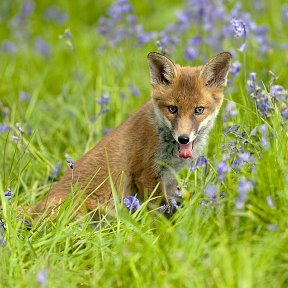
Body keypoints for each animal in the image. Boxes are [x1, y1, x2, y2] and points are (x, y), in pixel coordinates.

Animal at [30, 51, 232, 218]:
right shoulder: (146, 174)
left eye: (198, 110)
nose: (183, 138)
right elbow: (159, 212)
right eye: (172, 109)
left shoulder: (169, 177)